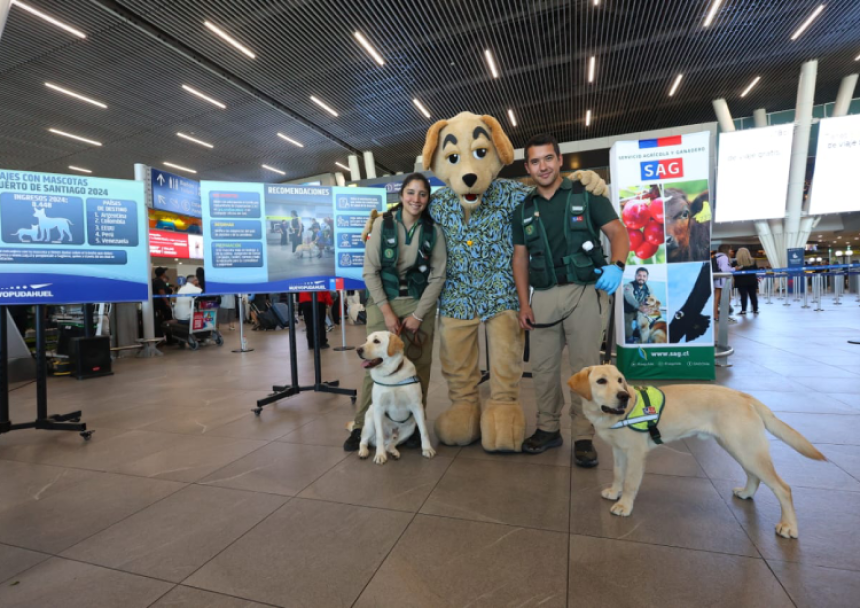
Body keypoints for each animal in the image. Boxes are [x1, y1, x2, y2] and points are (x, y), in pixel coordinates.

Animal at [356, 330, 436, 464]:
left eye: (376, 341)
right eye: (366, 340)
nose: (358, 349)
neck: (391, 375)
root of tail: (391, 434)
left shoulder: (417, 406)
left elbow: (424, 431)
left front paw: (427, 449)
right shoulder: (378, 408)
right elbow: (379, 436)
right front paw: (380, 455)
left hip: (409, 429)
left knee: (390, 444)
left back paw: (394, 452)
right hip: (371, 422)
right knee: (364, 440)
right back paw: (363, 452)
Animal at [568, 364, 824, 540]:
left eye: (620, 380)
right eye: (601, 381)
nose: (623, 396)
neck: (612, 415)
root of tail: (746, 396)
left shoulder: (636, 454)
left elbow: (630, 483)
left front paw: (624, 506)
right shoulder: (619, 451)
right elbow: (618, 475)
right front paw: (614, 492)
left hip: (746, 449)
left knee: (783, 488)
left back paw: (788, 526)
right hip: (737, 446)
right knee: (754, 476)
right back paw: (746, 493)